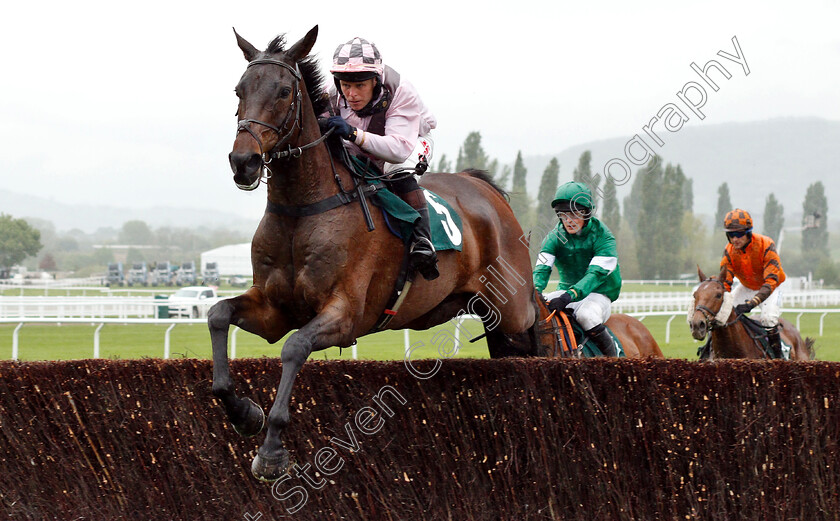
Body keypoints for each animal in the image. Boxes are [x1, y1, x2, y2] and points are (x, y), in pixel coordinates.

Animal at [208, 26, 540, 482]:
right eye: (239, 90)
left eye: (283, 91)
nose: (244, 161)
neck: (303, 208)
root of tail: (485, 189)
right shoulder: (274, 308)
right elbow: (218, 315)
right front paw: (244, 413)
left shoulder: (346, 313)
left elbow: (294, 347)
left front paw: (272, 450)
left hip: (510, 303)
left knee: (538, 313)